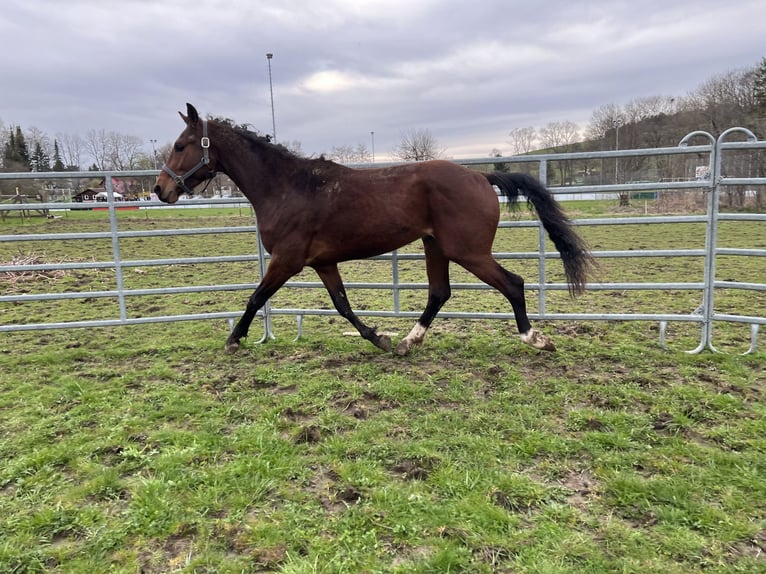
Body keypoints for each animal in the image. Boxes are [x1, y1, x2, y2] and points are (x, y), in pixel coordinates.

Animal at [154, 103, 592, 356]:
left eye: (180, 145)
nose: (161, 190)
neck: (288, 187)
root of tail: (481, 177)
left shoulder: (287, 260)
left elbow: (255, 297)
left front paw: (234, 339)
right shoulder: (322, 263)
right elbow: (343, 305)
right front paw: (378, 337)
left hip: (467, 251)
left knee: (512, 284)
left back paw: (535, 338)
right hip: (436, 246)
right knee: (439, 293)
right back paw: (407, 342)